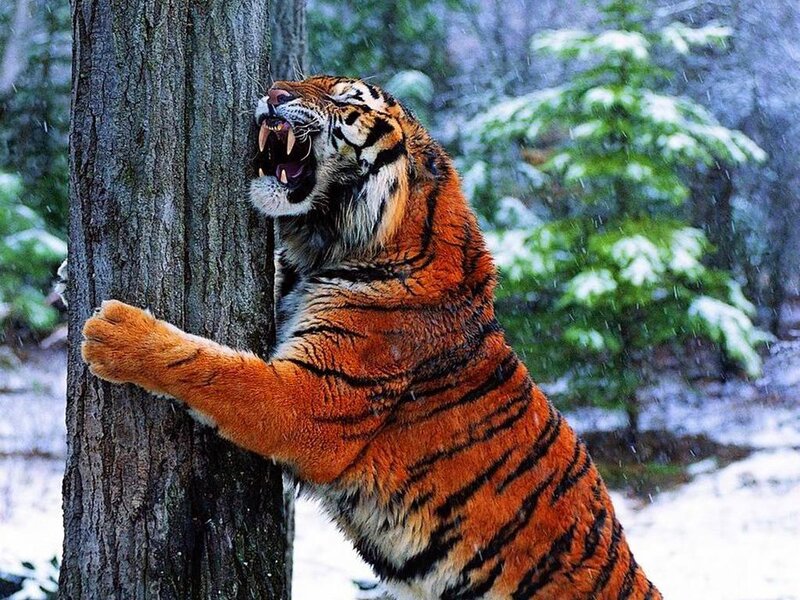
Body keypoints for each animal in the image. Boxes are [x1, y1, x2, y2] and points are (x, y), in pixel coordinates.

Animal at [82, 75, 661, 600]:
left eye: (344, 98)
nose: (273, 93)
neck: (330, 248)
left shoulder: (315, 399)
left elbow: (216, 370)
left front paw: (114, 332)